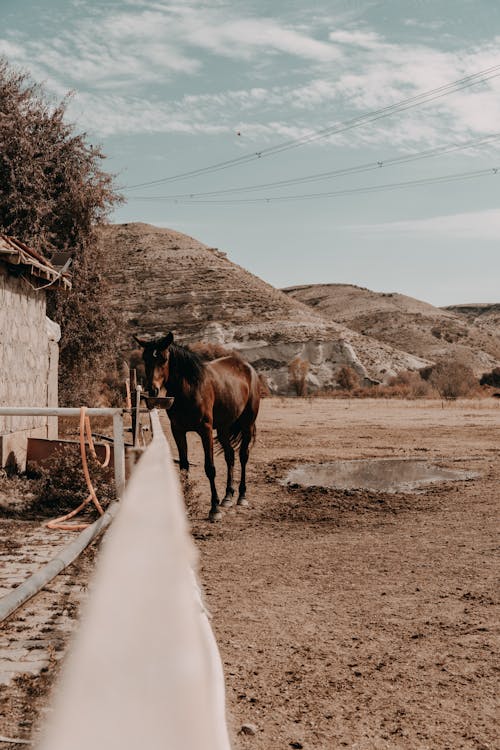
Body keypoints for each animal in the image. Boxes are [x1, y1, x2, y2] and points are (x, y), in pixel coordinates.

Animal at [137, 334, 262, 524]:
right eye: (145, 358)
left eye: (164, 359)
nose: (153, 390)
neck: (189, 388)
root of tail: (249, 369)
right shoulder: (178, 431)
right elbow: (184, 466)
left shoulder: (206, 430)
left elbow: (209, 468)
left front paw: (214, 509)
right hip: (224, 429)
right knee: (230, 456)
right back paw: (228, 496)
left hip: (246, 425)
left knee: (243, 456)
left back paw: (241, 496)